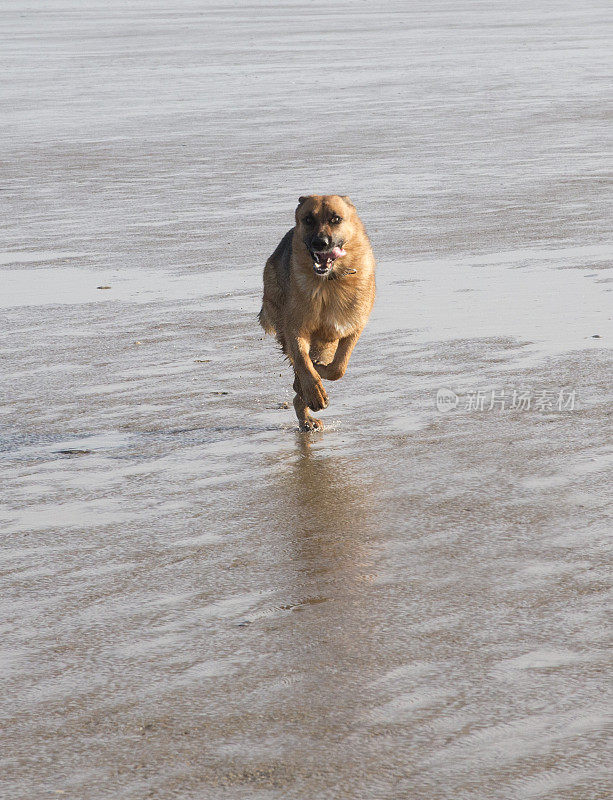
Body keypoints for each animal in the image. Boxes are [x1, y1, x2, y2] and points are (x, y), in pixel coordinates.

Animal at [256, 195, 376, 432]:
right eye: (308, 219)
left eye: (335, 219)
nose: (320, 243)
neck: (329, 282)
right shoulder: (296, 329)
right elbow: (304, 363)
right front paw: (314, 391)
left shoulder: (352, 328)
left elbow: (339, 367)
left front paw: (319, 374)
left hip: (325, 344)